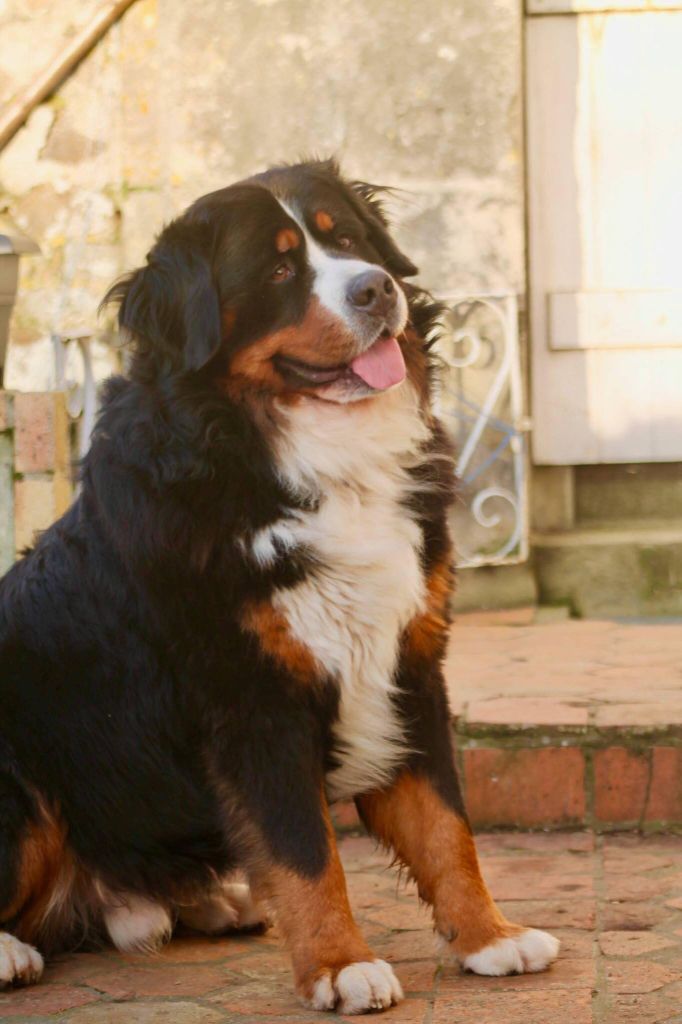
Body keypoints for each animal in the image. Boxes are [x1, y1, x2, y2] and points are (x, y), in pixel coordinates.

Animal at [0, 159, 557, 1015]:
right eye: (278, 271)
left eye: (348, 238)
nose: (375, 290)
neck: (314, 461)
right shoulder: (253, 698)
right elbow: (303, 848)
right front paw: (340, 966)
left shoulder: (408, 665)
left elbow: (446, 829)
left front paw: (489, 937)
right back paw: (12, 950)